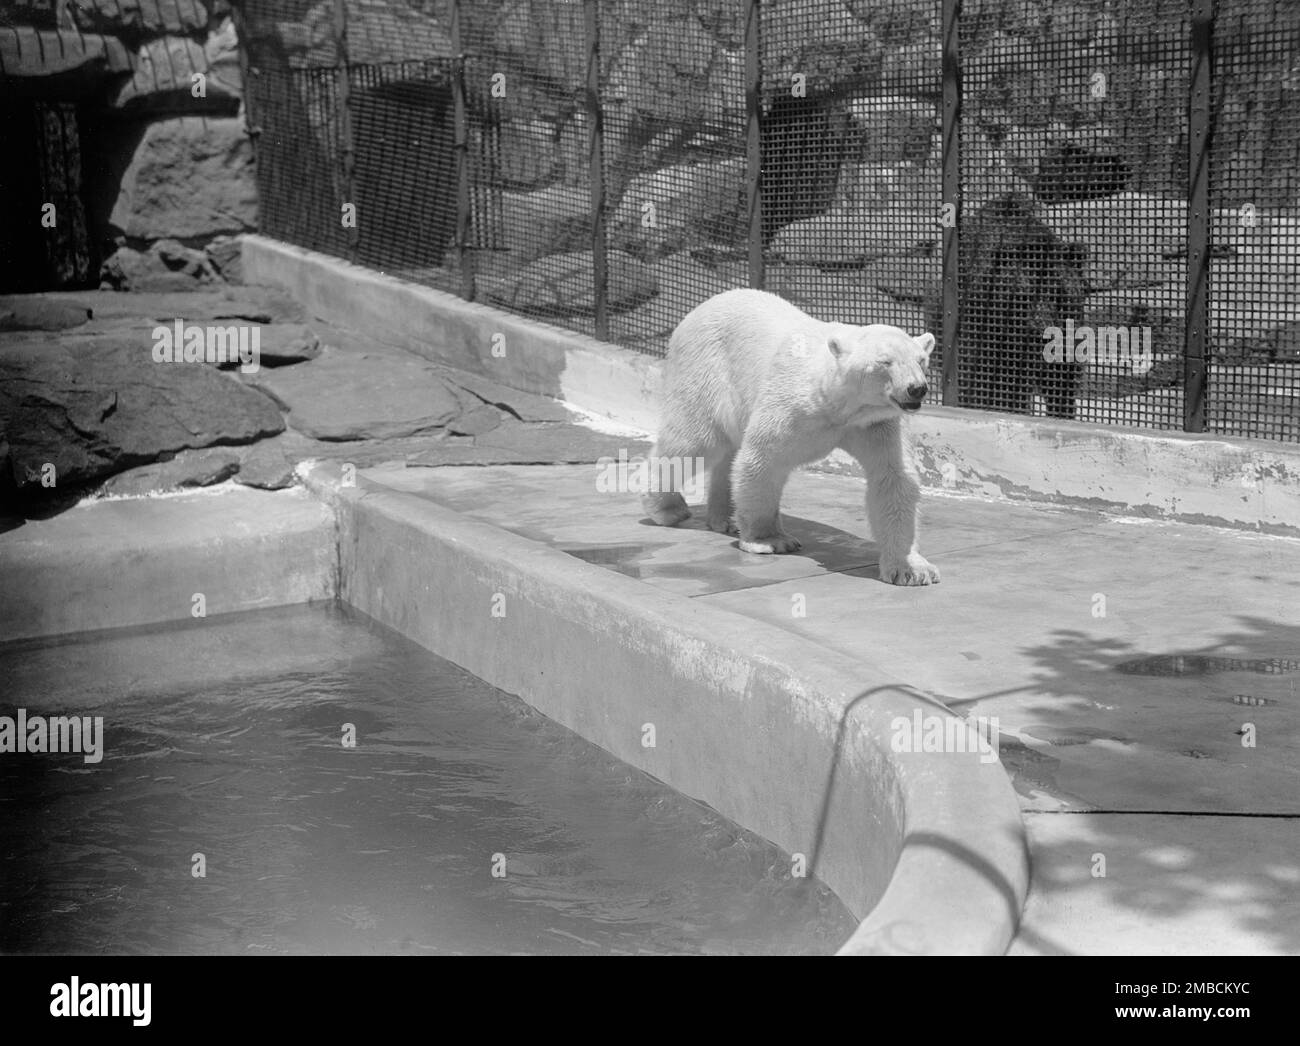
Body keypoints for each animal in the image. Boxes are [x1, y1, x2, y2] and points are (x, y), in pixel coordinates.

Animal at [644, 289, 941, 584]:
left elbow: (893, 478)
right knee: (695, 441)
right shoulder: (791, 406)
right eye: (884, 362)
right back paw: (668, 509)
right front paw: (769, 540)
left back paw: (725, 519)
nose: (917, 389)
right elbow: (762, 459)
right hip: (705, 371)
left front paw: (912, 569)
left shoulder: (874, 423)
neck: (835, 404)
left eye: (920, 360)